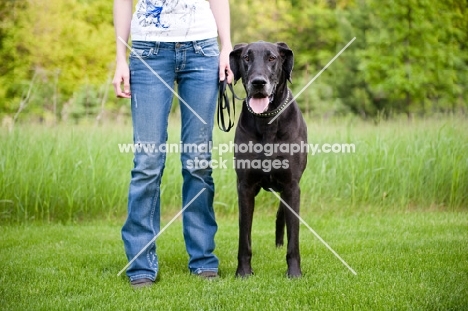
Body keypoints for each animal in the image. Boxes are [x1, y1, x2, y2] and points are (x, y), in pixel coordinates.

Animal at [229, 40, 308, 278]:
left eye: (272, 58)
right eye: (246, 57)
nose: (258, 82)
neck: (267, 122)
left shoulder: (292, 186)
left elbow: (294, 236)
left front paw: (294, 273)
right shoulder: (244, 186)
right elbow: (244, 235)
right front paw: (243, 272)